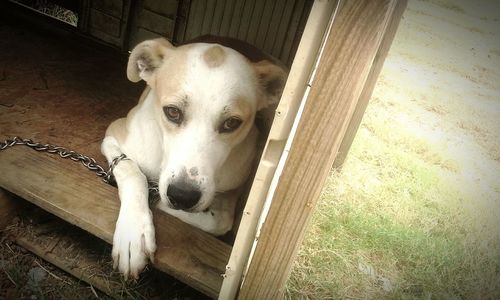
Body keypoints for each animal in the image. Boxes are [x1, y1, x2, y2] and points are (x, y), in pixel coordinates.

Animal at [100, 37, 288, 278]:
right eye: (172, 112)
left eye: (232, 123)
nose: (182, 196)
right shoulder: (114, 135)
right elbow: (131, 171)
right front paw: (133, 233)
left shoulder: (233, 186)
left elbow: (220, 222)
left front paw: (160, 205)